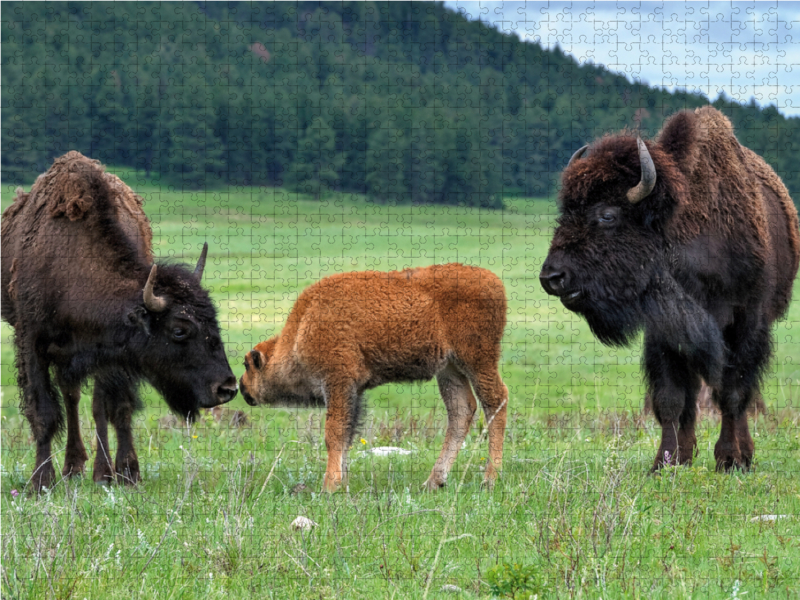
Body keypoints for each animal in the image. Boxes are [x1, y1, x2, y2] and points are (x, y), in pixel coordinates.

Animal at [0, 151, 238, 492]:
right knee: (70, 398)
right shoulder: (32, 342)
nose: (227, 388)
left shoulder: (113, 352)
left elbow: (113, 409)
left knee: (85, 401)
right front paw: (41, 482)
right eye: (179, 330)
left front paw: (123, 473)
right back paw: (71, 468)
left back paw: (87, 469)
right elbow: (43, 412)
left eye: (214, 322)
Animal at [241, 264, 510, 494]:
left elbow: (334, 433)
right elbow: (347, 435)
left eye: (247, 365)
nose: (242, 388)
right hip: (449, 369)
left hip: (477, 360)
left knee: (495, 401)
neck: (302, 328)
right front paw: (342, 482)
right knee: (461, 411)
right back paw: (434, 482)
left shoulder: (338, 382)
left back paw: (489, 479)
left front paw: (329, 486)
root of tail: (494, 282)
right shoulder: (353, 391)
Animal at [540, 108, 796, 474]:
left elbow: (733, 392)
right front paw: (666, 462)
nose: (552, 277)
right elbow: (671, 398)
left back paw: (742, 454)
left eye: (607, 215)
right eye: (565, 212)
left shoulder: (747, 322)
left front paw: (730, 458)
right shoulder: (664, 331)